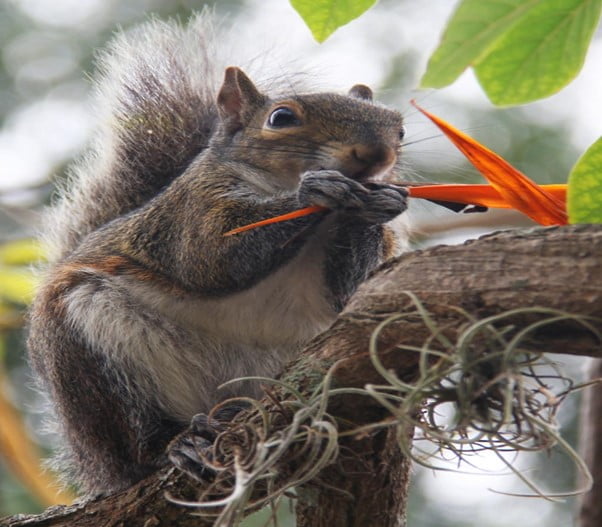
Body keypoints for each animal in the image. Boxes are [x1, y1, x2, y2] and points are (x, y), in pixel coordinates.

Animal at [27, 15, 408, 496]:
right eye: (281, 118)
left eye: (399, 128)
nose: (376, 154)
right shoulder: (188, 211)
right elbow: (209, 257)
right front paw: (315, 190)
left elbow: (349, 292)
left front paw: (380, 204)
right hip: (87, 358)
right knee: (134, 441)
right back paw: (177, 443)